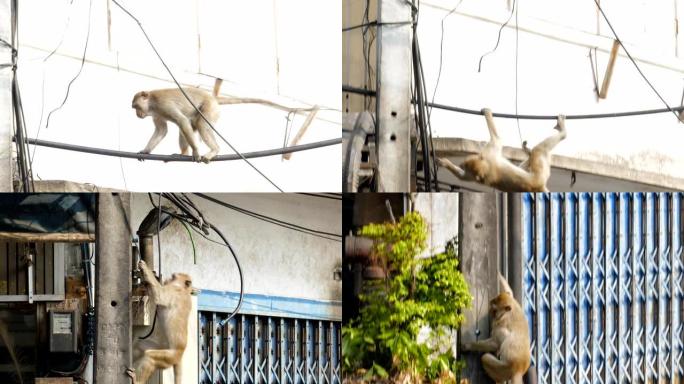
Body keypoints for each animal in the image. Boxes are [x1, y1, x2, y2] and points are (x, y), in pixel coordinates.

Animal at [438, 108, 568, 192]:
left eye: (465, 164)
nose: (461, 164)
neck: (486, 169)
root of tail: (539, 186)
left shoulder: (488, 155)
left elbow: (496, 139)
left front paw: (487, 112)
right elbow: (463, 176)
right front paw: (445, 163)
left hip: (540, 174)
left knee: (537, 151)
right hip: (540, 175)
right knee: (537, 151)